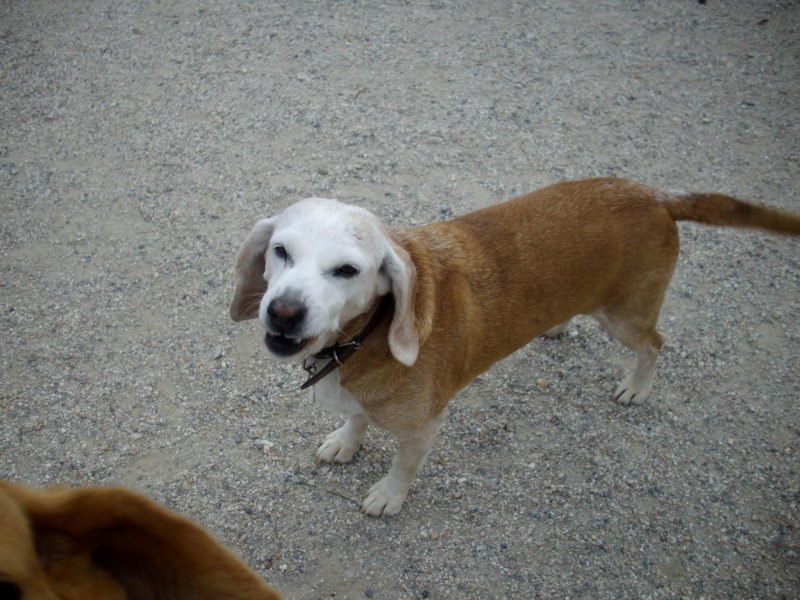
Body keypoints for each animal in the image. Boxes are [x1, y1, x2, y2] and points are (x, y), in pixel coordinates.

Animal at [230, 177, 800, 516]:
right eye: (281, 251)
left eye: (347, 270)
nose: (283, 311)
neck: (365, 336)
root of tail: (654, 194)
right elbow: (355, 418)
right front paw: (347, 442)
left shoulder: (423, 427)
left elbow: (403, 466)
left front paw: (390, 494)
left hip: (625, 319)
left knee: (655, 343)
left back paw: (637, 386)